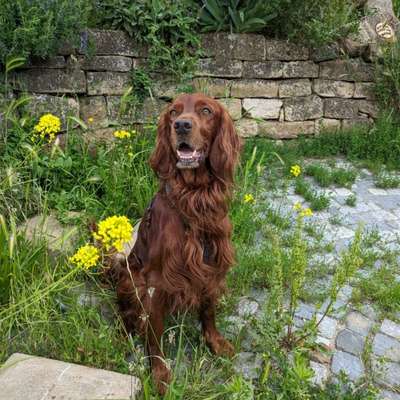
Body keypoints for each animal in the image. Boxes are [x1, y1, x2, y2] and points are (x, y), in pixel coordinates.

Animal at [115, 92, 241, 392]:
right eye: (173, 111)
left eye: (206, 111)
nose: (182, 125)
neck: (194, 199)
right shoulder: (156, 282)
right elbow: (154, 333)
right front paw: (159, 373)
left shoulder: (210, 264)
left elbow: (208, 310)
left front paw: (214, 342)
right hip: (130, 277)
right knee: (126, 312)